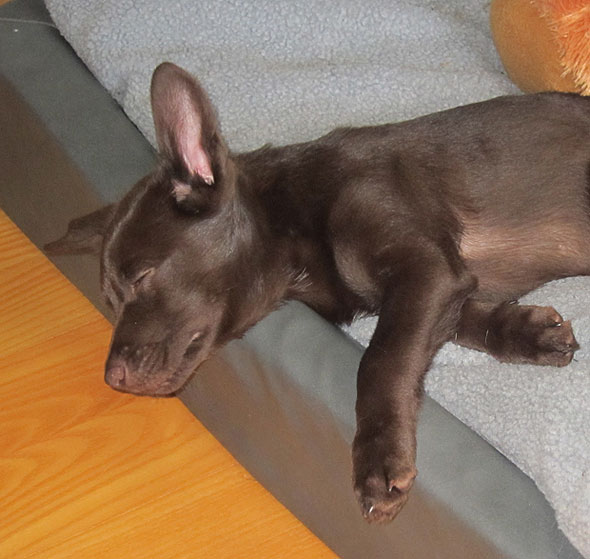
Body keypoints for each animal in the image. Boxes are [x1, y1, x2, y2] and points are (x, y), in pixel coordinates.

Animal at [46, 62, 589, 523]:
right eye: (111, 301)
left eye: (142, 277)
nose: (112, 379)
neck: (294, 221)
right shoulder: (441, 281)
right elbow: (464, 320)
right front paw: (530, 333)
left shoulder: (425, 267)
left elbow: (381, 360)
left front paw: (376, 461)